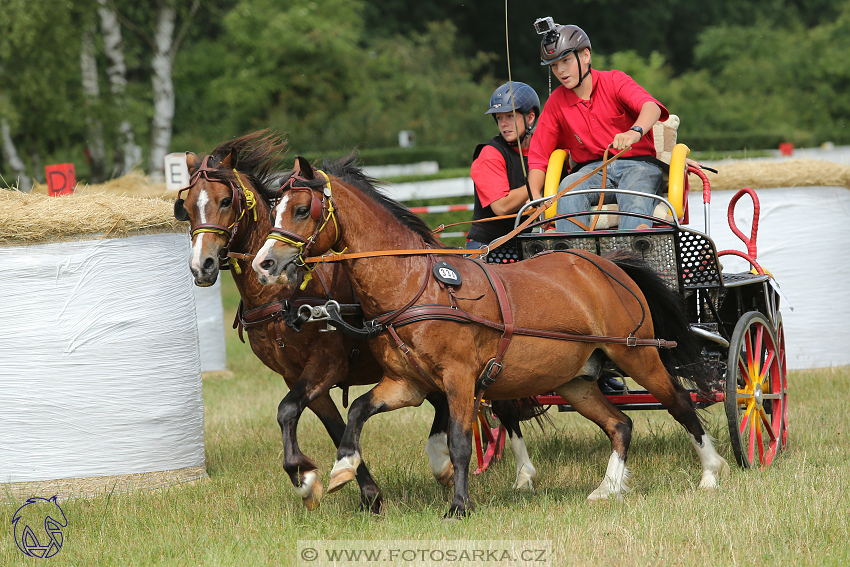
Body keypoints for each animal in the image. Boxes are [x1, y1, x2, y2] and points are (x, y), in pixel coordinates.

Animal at [176, 133, 540, 516]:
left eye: (225, 200)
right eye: (186, 207)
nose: (201, 265)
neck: (284, 295)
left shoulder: (327, 364)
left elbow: (288, 410)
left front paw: (307, 478)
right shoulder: (297, 376)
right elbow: (329, 425)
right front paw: (360, 490)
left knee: (502, 406)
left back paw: (522, 474)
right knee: (446, 404)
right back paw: (443, 463)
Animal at [250, 153, 728, 516]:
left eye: (301, 209)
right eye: (273, 208)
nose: (264, 263)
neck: (416, 285)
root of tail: (606, 264)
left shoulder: (459, 378)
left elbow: (461, 442)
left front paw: (459, 505)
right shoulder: (407, 384)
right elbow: (358, 411)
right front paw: (341, 468)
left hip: (637, 355)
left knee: (680, 402)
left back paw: (711, 472)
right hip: (574, 379)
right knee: (620, 423)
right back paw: (607, 488)